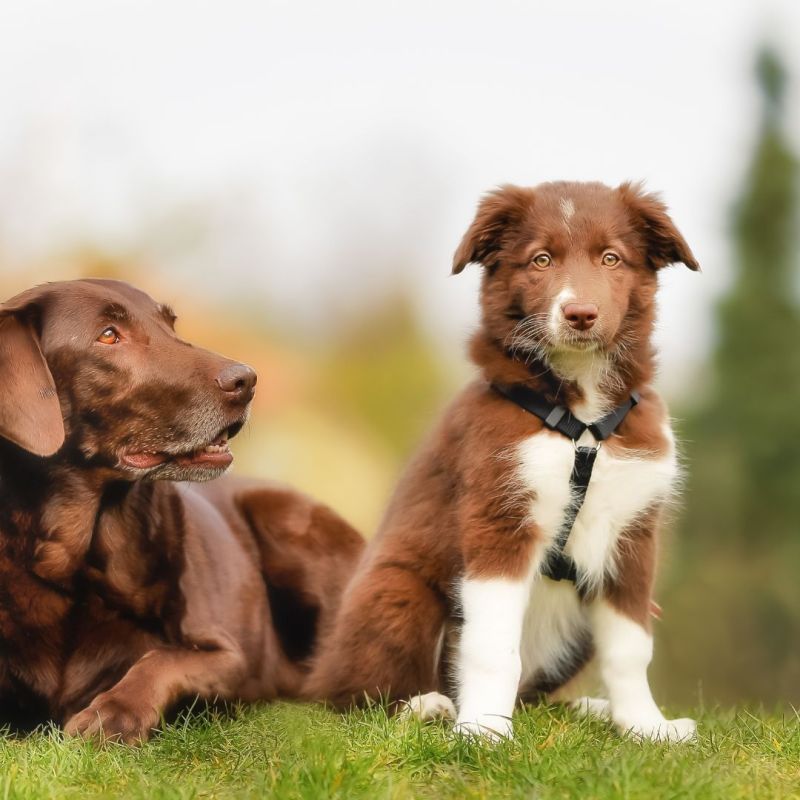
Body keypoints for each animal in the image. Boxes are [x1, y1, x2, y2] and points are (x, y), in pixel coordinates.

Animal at [306, 181, 700, 744]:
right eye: (541, 260)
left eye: (610, 258)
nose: (580, 313)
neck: (581, 415)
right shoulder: (500, 518)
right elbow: (493, 646)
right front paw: (484, 731)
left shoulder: (632, 535)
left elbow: (630, 646)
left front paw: (646, 726)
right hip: (395, 591)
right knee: (352, 696)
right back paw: (427, 706)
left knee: (536, 694)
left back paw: (589, 709)